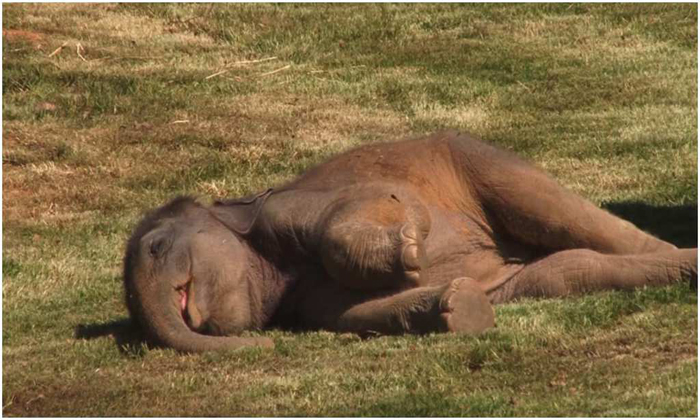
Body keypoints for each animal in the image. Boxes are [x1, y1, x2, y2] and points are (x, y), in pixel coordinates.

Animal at [123, 130, 696, 352]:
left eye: (156, 248)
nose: (265, 346)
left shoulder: (289, 206)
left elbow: (379, 201)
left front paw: (413, 243)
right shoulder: (307, 307)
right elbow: (362, 315)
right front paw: (458, 305)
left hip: (478, 161)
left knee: (561, 215)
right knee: (567, 272)